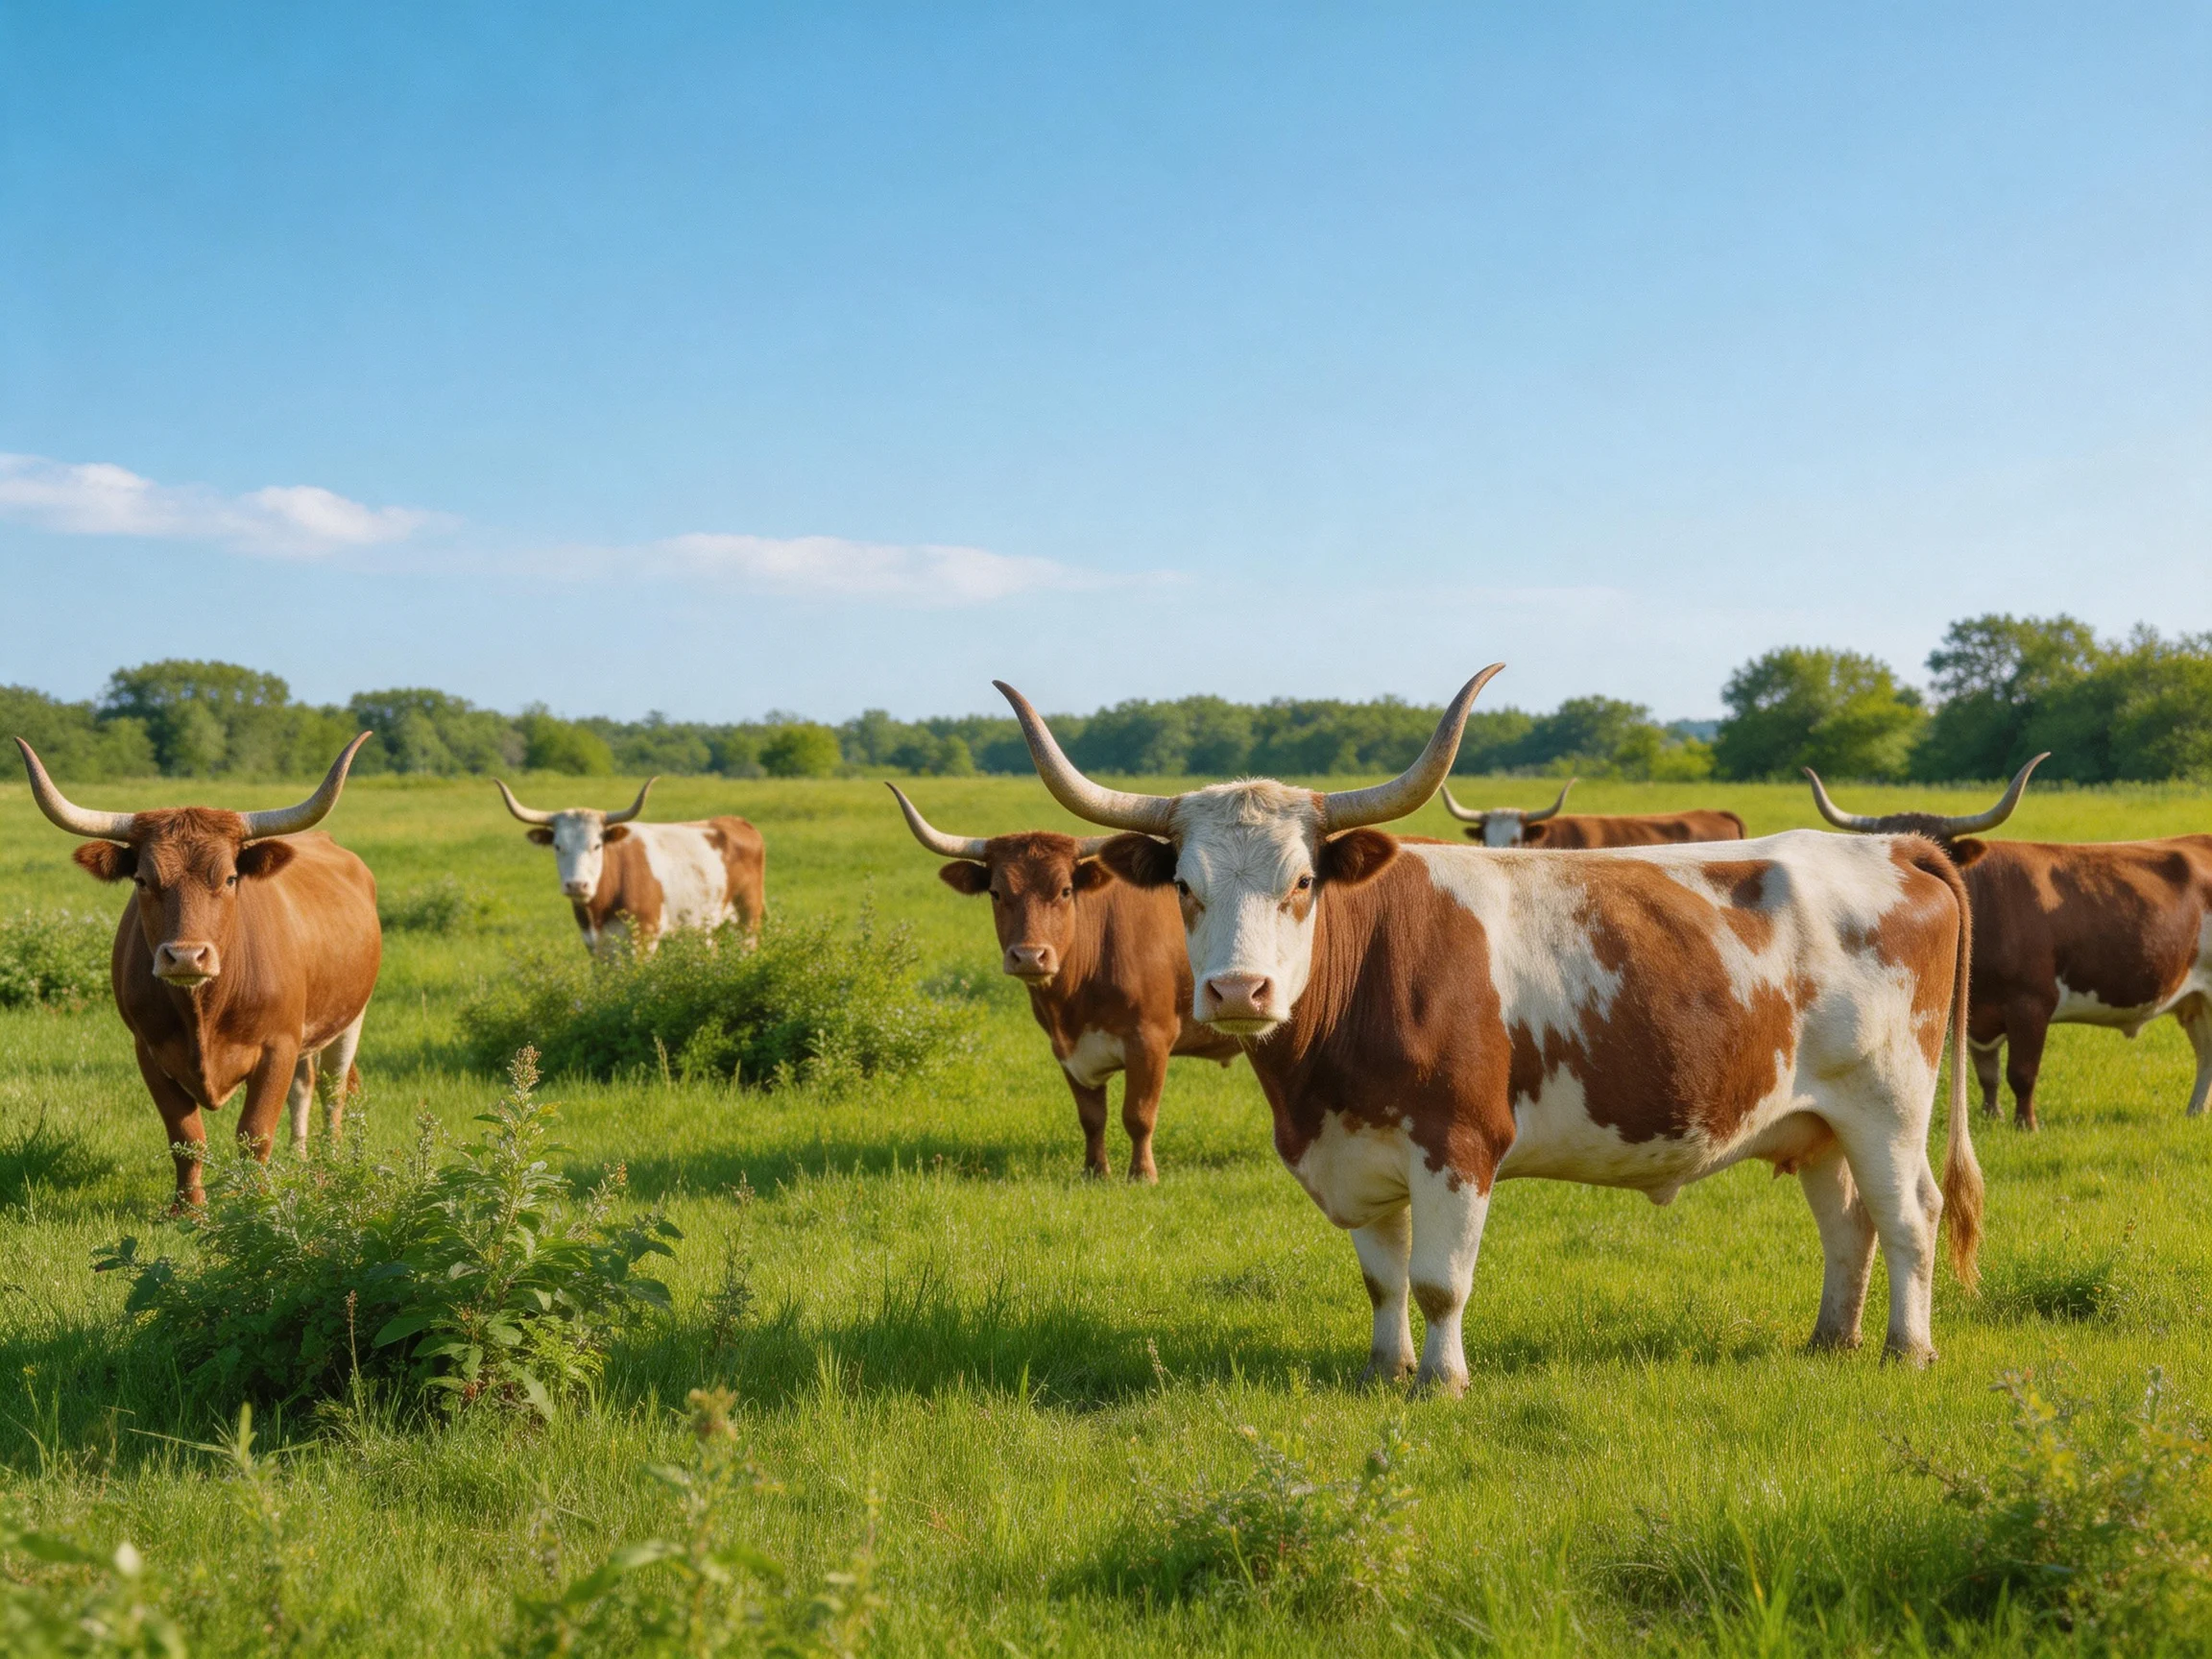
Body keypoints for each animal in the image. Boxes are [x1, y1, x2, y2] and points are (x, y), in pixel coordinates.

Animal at [14, 735, 381, 1206]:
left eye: (228, 879)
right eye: (143, 880)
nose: (186, 957)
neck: (203, 1011)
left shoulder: (278, 1046)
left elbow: (255, 1133)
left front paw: (254, 1202)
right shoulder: (149, 1049)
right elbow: (185, 1135)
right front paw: (188, 1207)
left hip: (350, 1017)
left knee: (332, 1091)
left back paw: (328, 1163)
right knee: (305, 1085)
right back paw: (298, 1159)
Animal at [496, 779, 764, 955]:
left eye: (597, 845)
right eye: (558, 846)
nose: (577, 885)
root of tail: (737, 822)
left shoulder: (643, 939)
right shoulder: (596, 946)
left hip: (747, 920)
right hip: (707, 928)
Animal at [890, 785, 1239, 1180]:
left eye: (1065, 890)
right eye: (996, 892)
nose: (1029, 956)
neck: (1075, 1002)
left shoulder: (1151, 1039)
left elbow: (1138, 1115)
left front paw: (1142, 1174)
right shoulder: (1067, 1049)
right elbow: (1091, 1118)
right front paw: (1094, 1171)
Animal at [992, 670, 1981, 1390]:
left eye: (1302, 883)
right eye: (1185, 887)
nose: (1240, 989)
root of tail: (1897, 847)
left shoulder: (1458, 1145)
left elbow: (1439, 1281)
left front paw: (1441, 1381)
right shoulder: (1356, 1149)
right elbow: (1383, 1277)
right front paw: (1382, 1371)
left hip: (1889, 1104)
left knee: (1909, 1216)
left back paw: (1908, 1349)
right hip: (1816, 1120)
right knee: (1847, 1222)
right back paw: (1829, 1341)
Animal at [1806, 756, 2212, 1129]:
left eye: (1942, 854)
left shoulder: (2031, 1003)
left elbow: (2022, 1072)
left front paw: (2025, 1125)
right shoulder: (1975, 1009)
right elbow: (1987, 1072)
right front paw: (1991, 1115)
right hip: (2195, 999)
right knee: (2204, 1050)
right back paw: (2195, 1112)